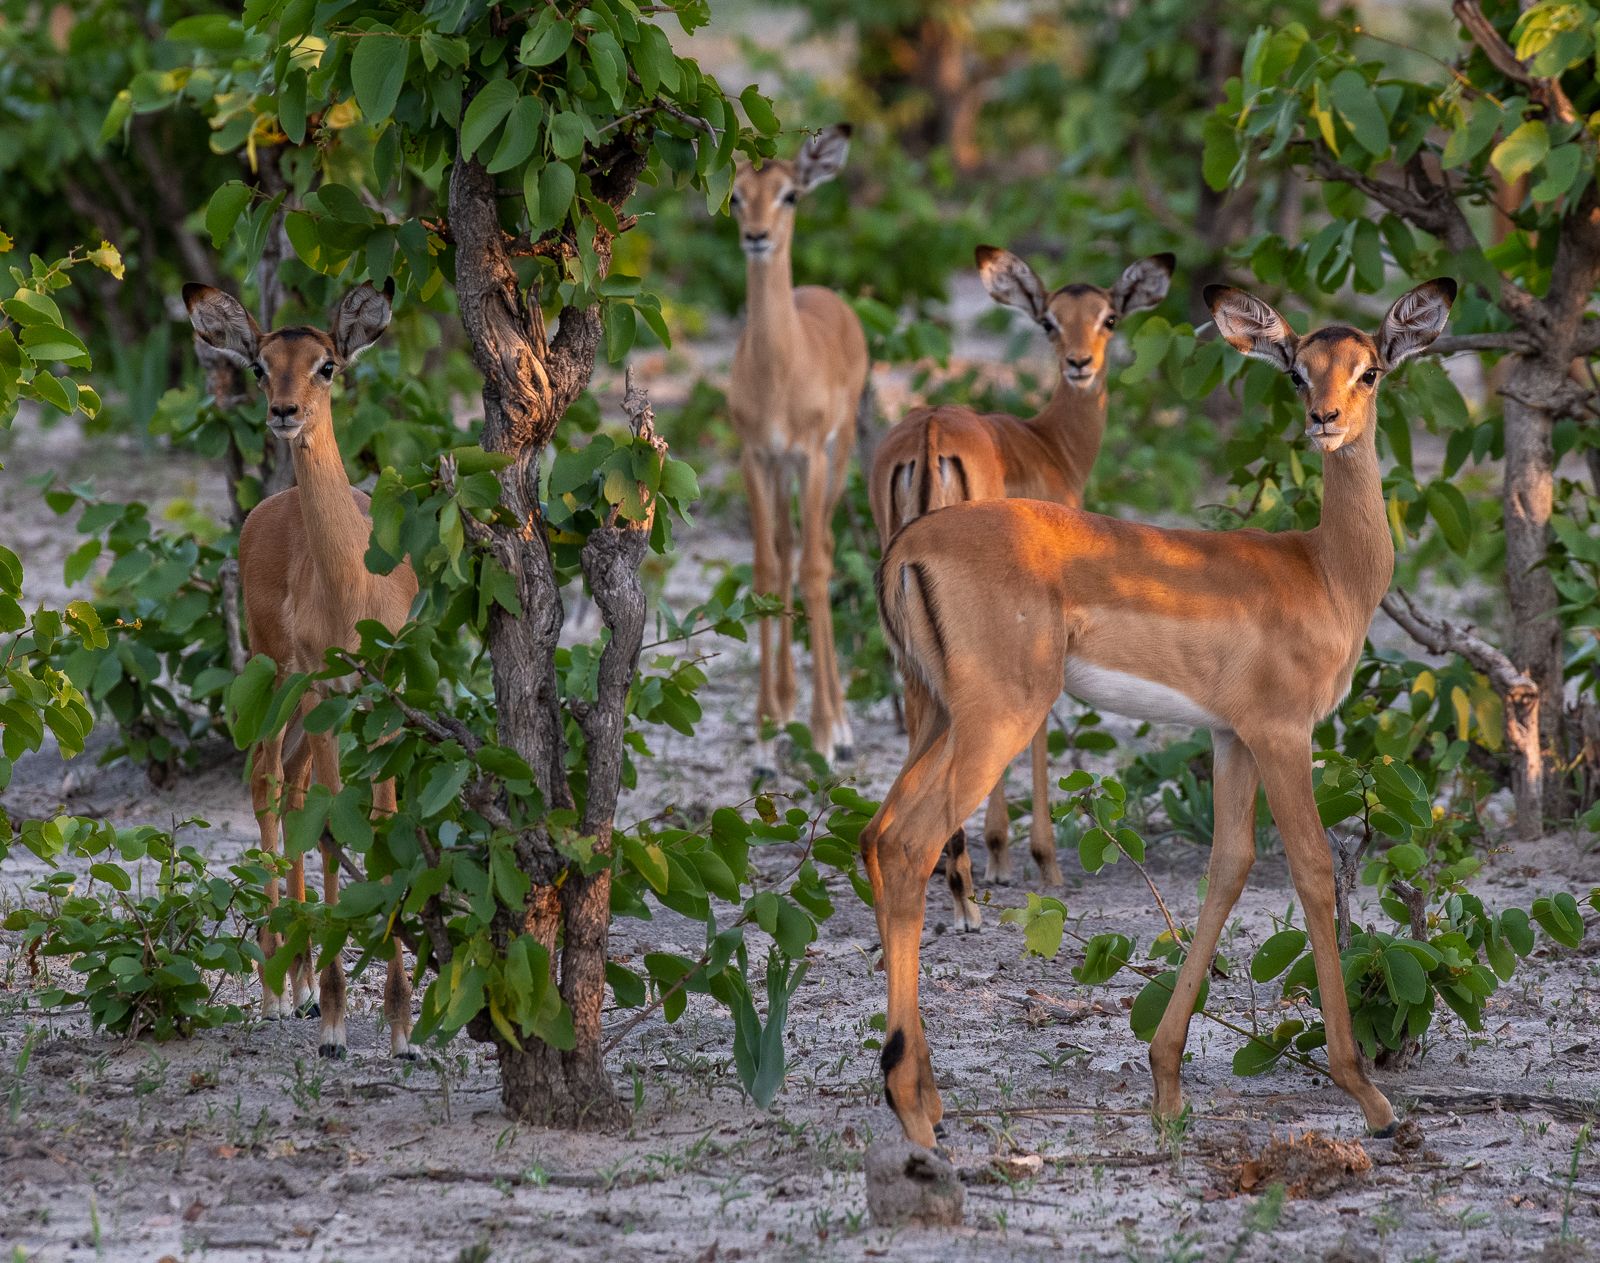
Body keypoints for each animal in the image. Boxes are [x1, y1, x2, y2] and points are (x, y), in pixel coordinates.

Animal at [185, 281, 416, 1060]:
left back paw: (302, 983)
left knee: (288, 789)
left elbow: (380, 827)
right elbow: (333, 830)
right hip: (275, 681)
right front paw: (339, 1025)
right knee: (266, 785)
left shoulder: (383, 698)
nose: (285, 413)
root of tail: (268, 507)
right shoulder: (324, 691)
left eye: (327, 364)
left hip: (302, 708)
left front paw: (402, 1029)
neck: (353, 583)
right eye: (260, 365)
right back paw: (277, 991)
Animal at [869, 246, 1174, 926]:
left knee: (919, 702)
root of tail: (930, 431)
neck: (1049, 443)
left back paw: (953, 882)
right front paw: (1032, 858)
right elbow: (1038, 731)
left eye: (1108, 317)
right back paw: (963, 892)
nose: (1080, 363)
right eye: (1050, 321)